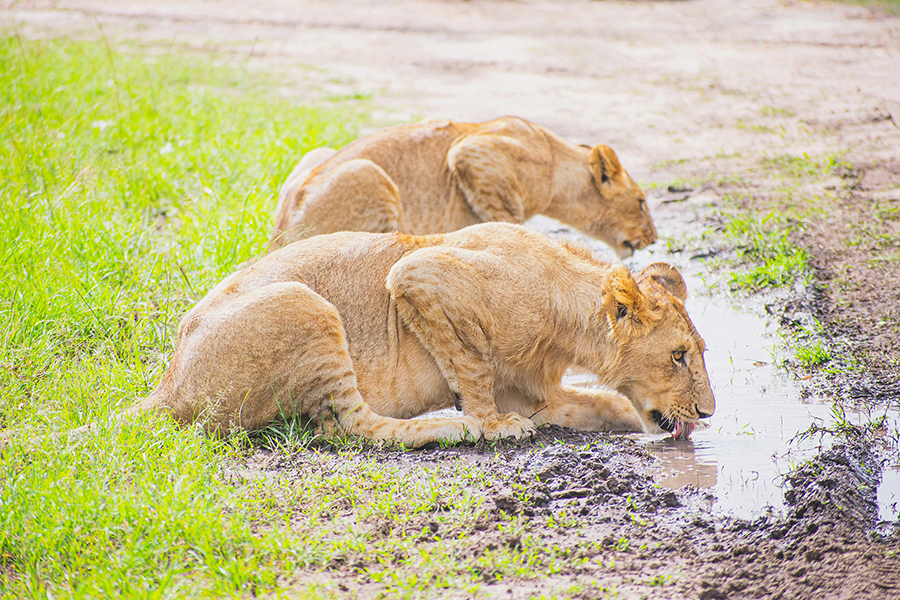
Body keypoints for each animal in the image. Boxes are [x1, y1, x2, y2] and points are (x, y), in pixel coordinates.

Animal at [119, 223, 712, 448]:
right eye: (679, 356)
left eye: (697, 352)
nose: (708, 413)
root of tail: (167, 387)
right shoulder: (419, 274)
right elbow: (472, 368)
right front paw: (491, 424)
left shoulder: (537, 392)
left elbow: (604, 403)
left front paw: (627, 419)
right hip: (304, 303)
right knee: (349, 426)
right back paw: (448, 428)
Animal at [268, 117, 652, 258]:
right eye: (641, 202)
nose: (654, 239)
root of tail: (277, 235)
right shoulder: (473, 150)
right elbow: (508, 222)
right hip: (369, 173)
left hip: (318, 154)